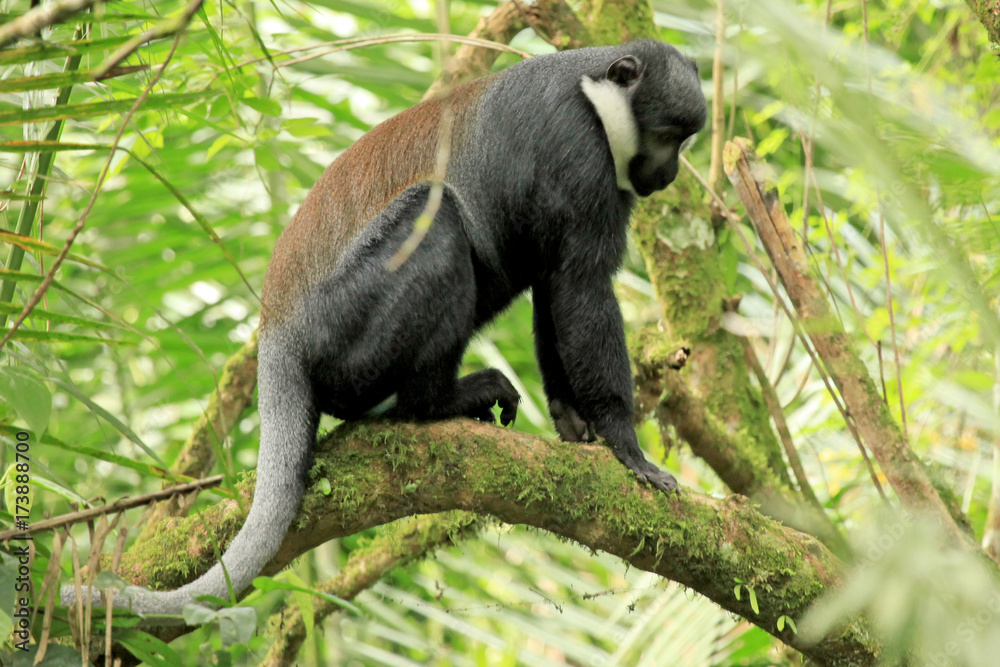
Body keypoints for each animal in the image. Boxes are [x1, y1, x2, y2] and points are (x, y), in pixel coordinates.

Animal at [61, 40, 706, 615]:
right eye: (667, 137)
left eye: (683, 141)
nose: (671, 172)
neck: (592, 92)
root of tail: (277, 334)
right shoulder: (578, 154)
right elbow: (579, 286)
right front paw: (628, 447)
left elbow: (555, 290)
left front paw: (575, 424)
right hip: (344, 331)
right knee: (436, 216)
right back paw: (437, 402)